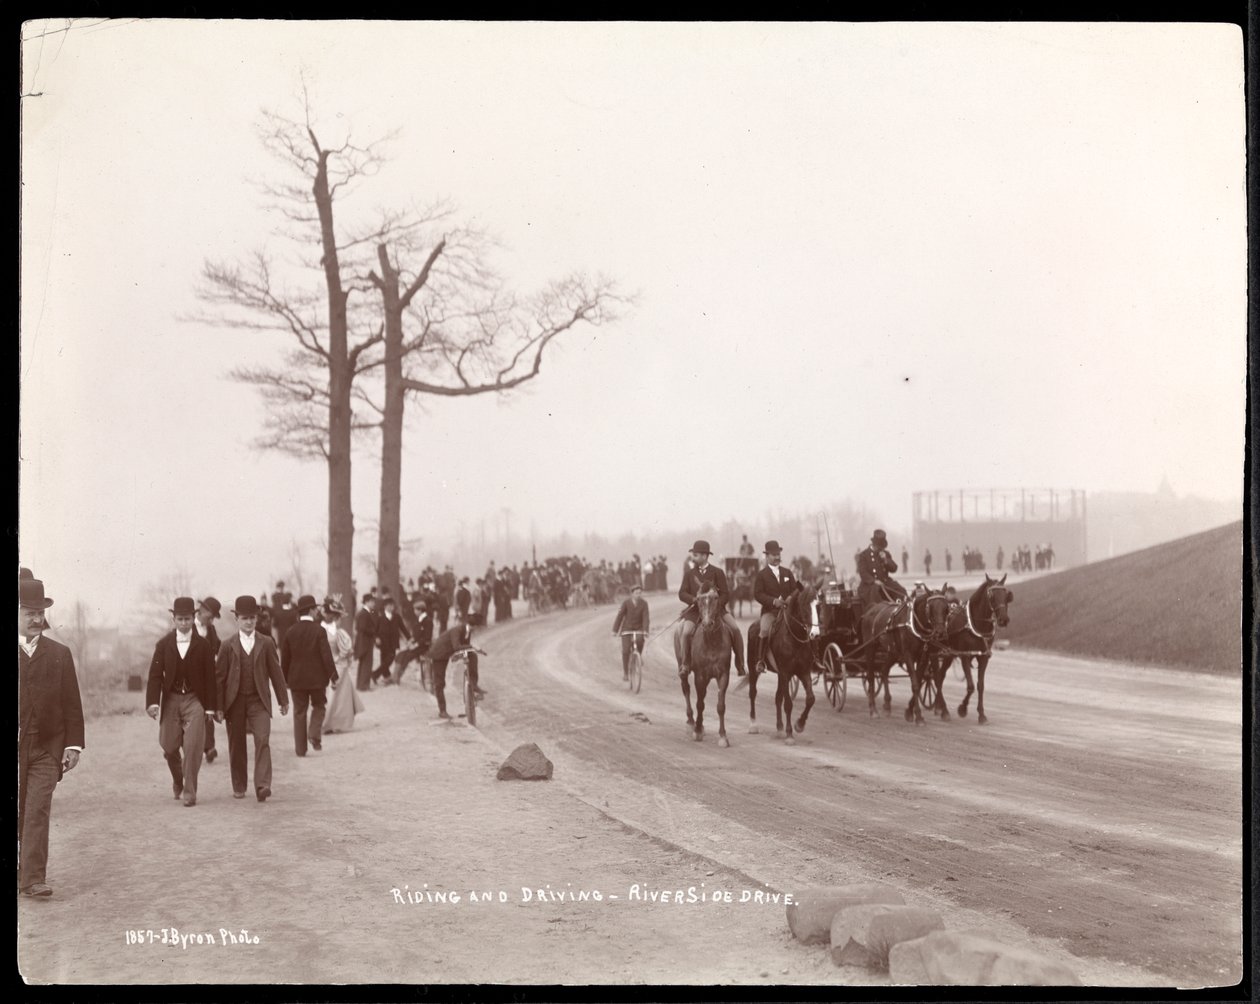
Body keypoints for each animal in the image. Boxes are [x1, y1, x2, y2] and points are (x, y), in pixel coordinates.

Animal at [675, 587, 735, 745]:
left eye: (716, 598)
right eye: (699, 599)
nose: (707, 624)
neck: (712, 641)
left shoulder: (723, 675)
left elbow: (721, 706)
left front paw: (723, 736)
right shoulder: (700, 676)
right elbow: (700, 703)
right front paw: (697, 731)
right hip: (682, 667)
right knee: (686, 689)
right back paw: (691, 722)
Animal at [740, 584, 821, 740]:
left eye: (818, 605)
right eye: (804, 605)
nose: (815, 634)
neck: (794, 640)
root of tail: (754, 625)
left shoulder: (802, 672)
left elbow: (811, 699)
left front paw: (799, 725)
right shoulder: (785, 672)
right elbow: (788, 703)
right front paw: (790, 733)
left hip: (781, 675)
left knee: (778, 697)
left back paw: (779, 727)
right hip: (754, 669)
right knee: (753, 693)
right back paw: (753, 725)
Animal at [927, 571, 1013, 720]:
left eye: (1005, 594)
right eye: (992, 595)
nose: (1003, 619)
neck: (975, 625)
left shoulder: (983, 657)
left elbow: (980, 685)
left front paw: (982, 715)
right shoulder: (965, 656)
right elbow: (971, 686)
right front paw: (962, 709)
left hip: (949, 654)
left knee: (941, 676)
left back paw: (939, 706)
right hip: (934, 652)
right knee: (936, 677)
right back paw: (943, 709)